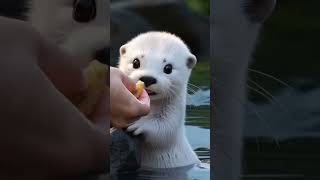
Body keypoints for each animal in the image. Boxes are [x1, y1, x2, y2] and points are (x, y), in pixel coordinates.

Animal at [117, 31, 200, 169]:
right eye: (136, 62)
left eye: (168, 68)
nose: (148, 78)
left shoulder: (173, 115)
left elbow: (165, 129)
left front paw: (139, 124)